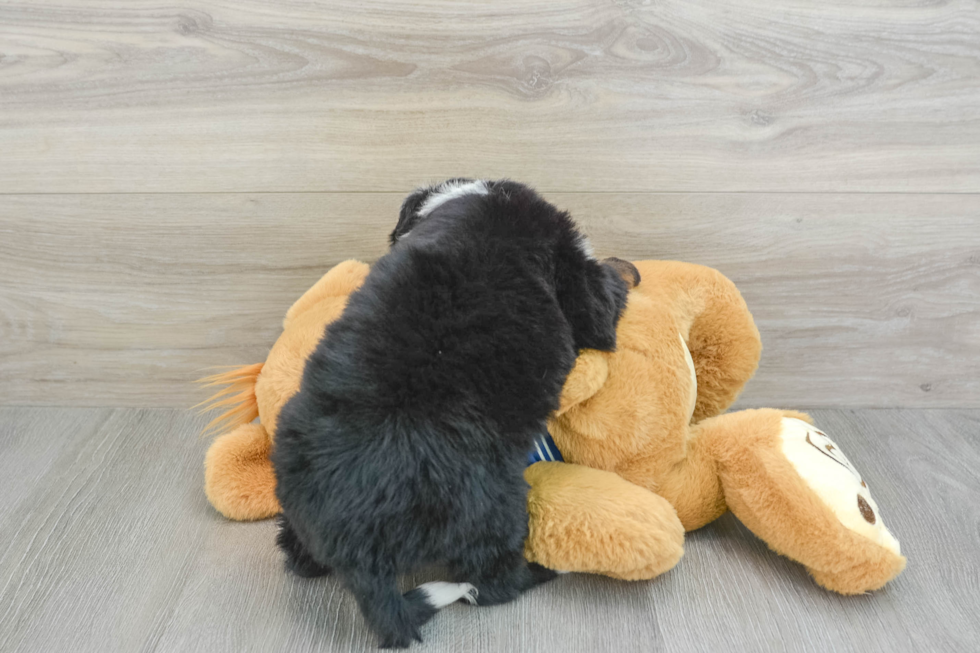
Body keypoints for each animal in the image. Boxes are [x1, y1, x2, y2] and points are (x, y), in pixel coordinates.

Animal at [272, 180, 632, 648]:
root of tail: (362, 557)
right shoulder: (578, 281)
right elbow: (601, 298)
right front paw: (620, 274)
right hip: (497, 509)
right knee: (493, 584)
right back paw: (545, 569)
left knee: (297, 555)